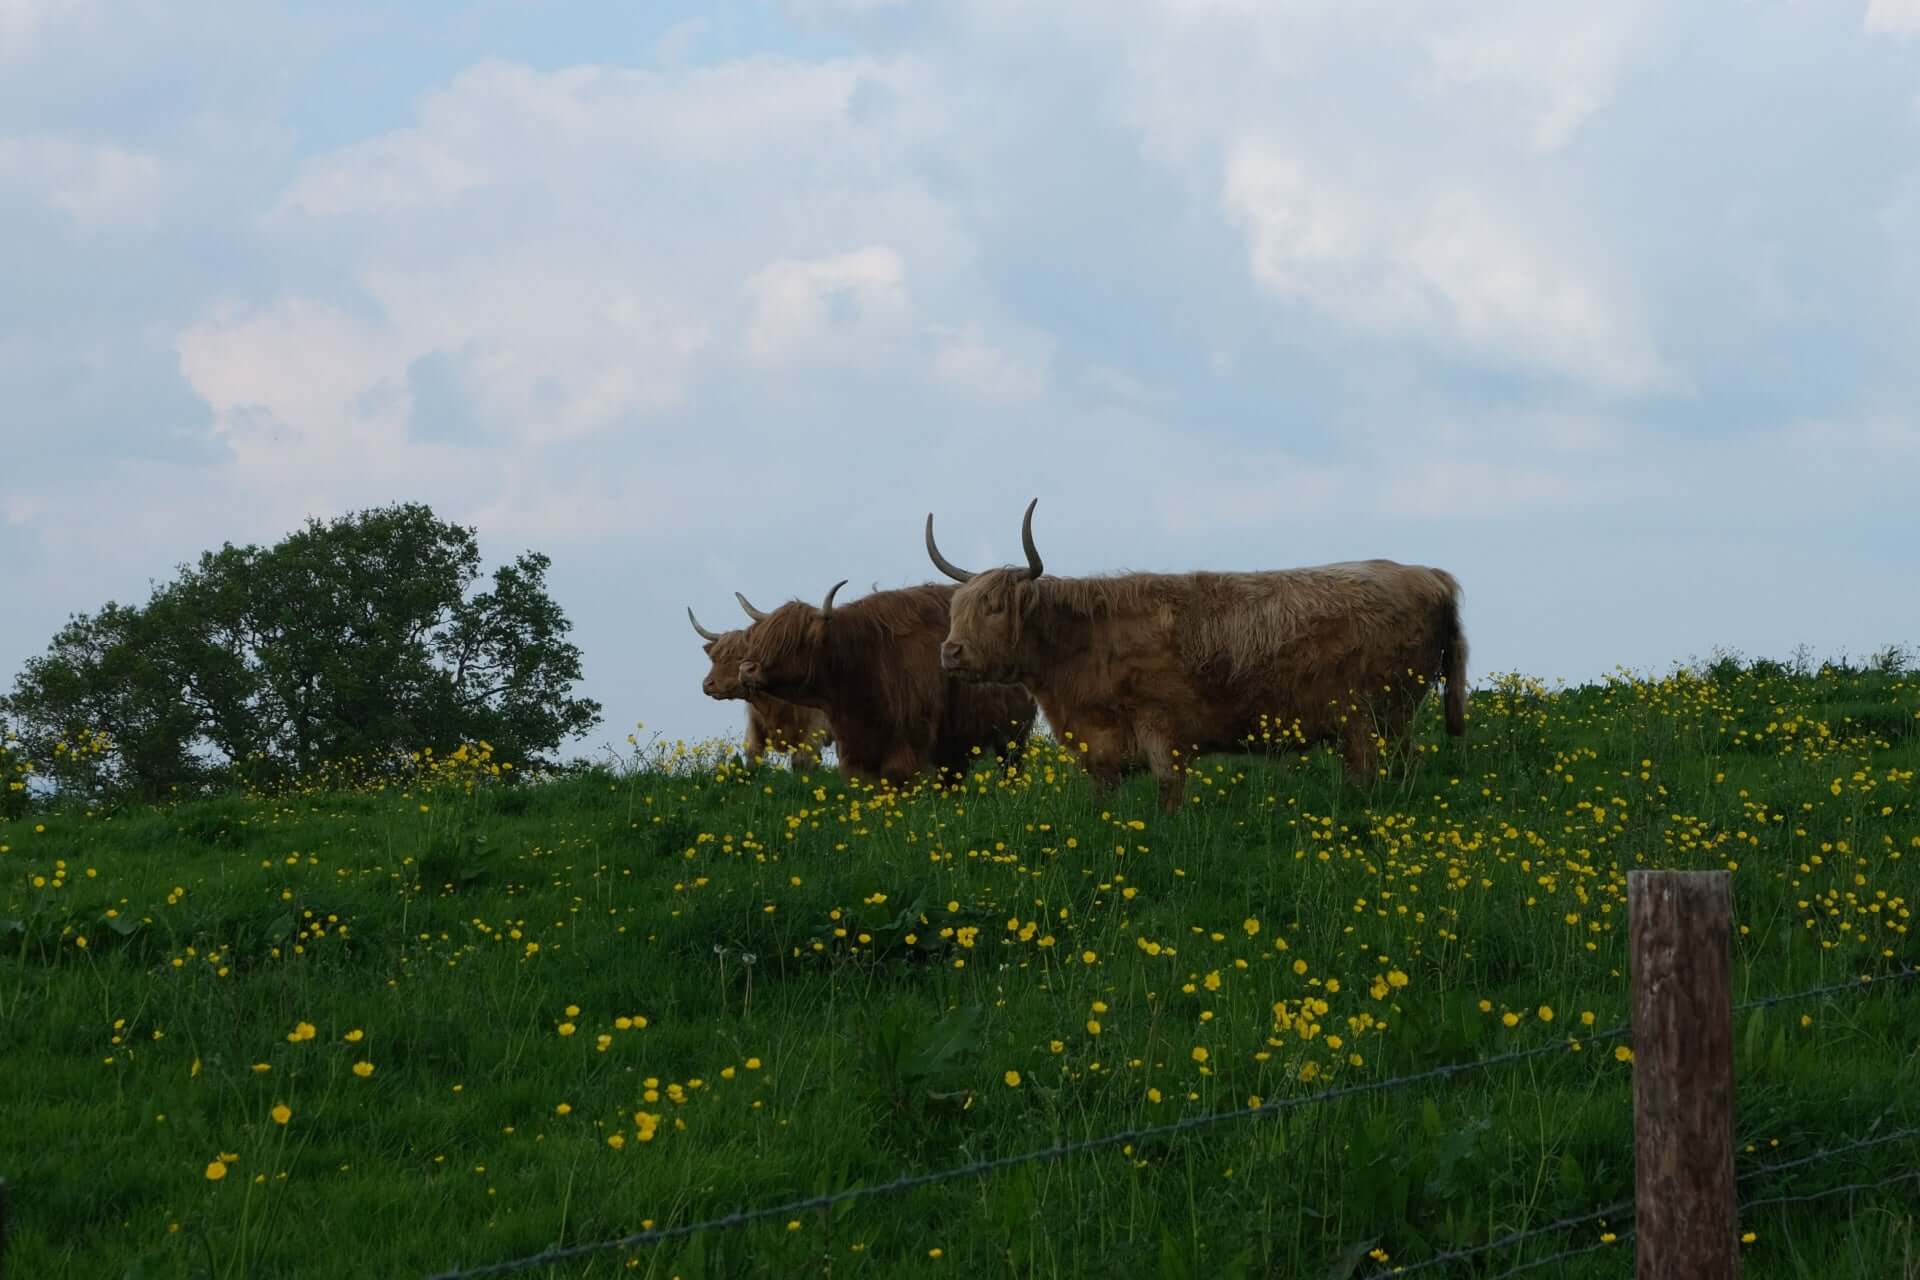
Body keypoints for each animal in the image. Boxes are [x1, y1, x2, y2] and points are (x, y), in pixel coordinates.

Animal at [689, 605, 834, 771]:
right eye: (713, 658)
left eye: (739, 657)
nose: (707, 684)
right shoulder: (754, 727)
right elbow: (753, 757)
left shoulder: (814, 731)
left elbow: (802, 762)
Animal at [732, 581, 1038, 786]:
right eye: (760, 638)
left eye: (793, 642)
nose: (746, 669)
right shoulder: (856, 749)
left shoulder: (910, 744)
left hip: (1013, 736)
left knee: (1010, 766)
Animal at [924, 499, 1468, 813]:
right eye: (956, 609)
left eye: (994, 608)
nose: (950, 652)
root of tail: (1427, 573)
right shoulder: (1102, 747)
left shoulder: (1160, 726)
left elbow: (1169, 791)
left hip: (1378, 715)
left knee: (1385, 768)